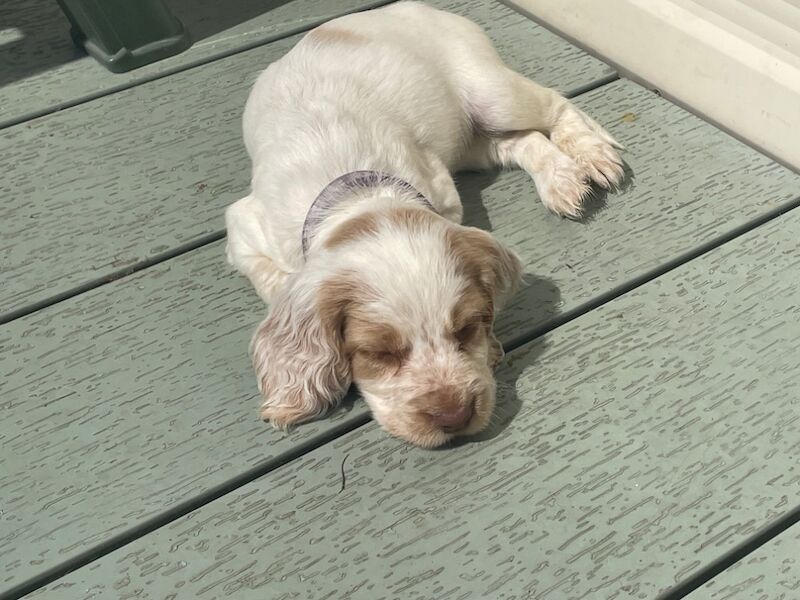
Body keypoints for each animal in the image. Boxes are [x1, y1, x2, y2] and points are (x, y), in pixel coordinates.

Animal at [225, 2, 624, 448]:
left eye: (465, 329)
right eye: (379, 353)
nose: (455, 417)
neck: (358, 195)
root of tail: (408, 7)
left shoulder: (441, 193)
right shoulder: (243, 228)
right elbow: (278, 284)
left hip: (490, 90)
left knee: (554, 106)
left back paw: (592, 156)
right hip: (471, 140)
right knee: (522, 140)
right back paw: (561, 179)